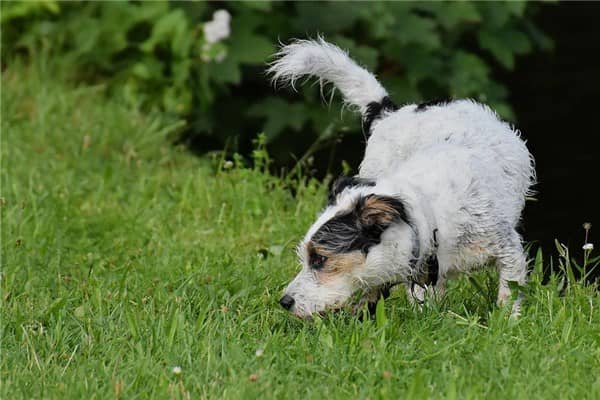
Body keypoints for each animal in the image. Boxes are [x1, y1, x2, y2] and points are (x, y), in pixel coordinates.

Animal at [268, 38, 536, 318]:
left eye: (320, 258)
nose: (285, 301)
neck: (430, 219)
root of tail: (390, 112)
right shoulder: (426, 277)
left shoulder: (509, 251)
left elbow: (509, 295)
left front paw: (506, 322)